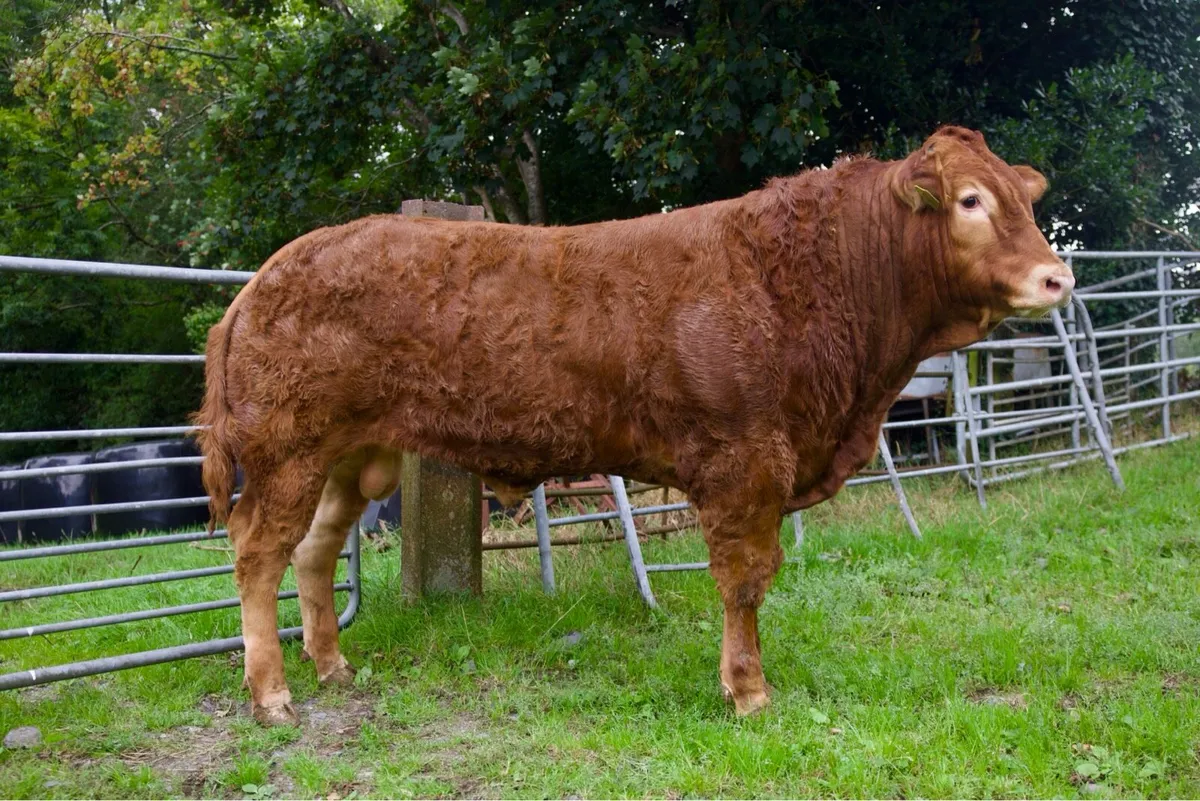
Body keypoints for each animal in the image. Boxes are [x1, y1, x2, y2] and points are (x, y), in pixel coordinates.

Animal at [195, 125, 1074, 726]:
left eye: (1027, 201)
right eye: (970, 200)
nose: (1057, 277)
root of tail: (264, 277)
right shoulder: (744, 460)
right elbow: (745, 579)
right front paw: (749, 690)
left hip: (352, 455)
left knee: (312, 550)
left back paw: (332, 667)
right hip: (286, 449)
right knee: (257, 551)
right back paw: (271, 693)